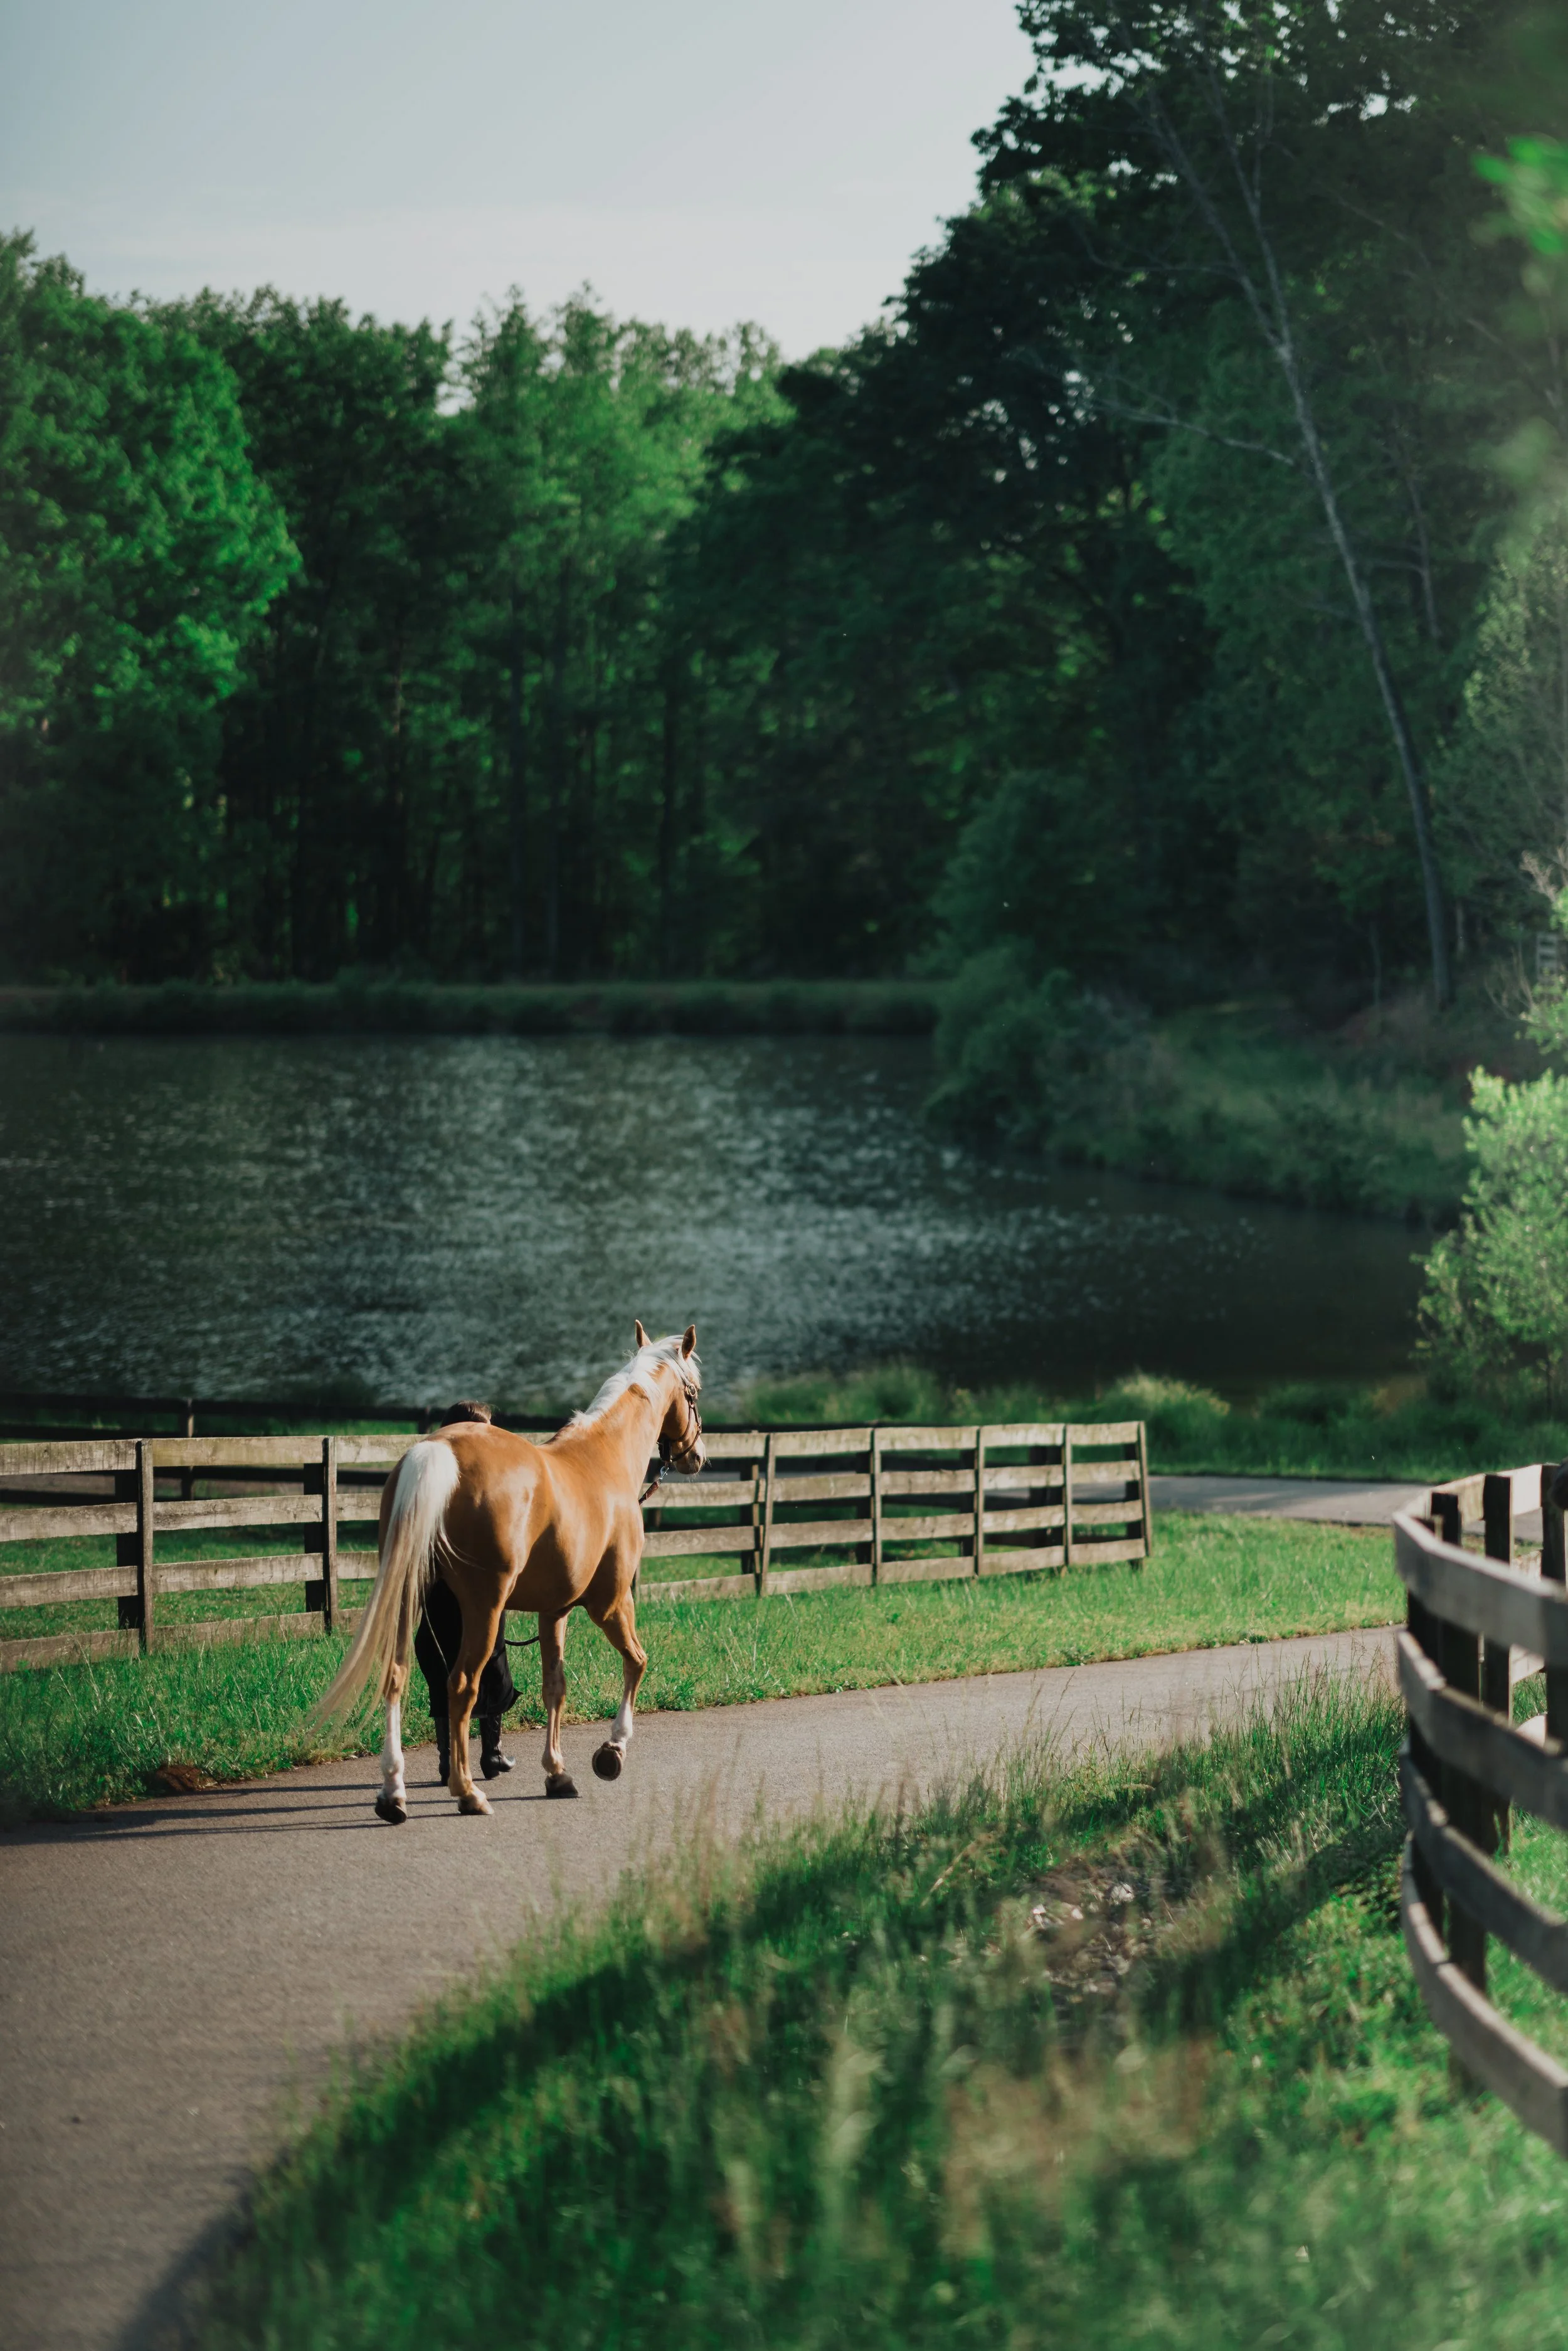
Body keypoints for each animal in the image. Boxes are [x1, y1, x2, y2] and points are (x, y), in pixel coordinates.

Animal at [312, 1323, 704, 1821]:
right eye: (695, 1392)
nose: (697, 1457)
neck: (604, 1457)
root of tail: (438, 1451)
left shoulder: (554, 1611)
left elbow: (555, 1685)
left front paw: (557, 1773)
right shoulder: (611, 1603)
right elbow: (637, 1662)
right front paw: (611, 1752)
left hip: (409, 1597)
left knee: (398, 1675)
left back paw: (393, 1794)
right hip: (485, 1607)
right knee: (462, 1685)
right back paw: (466, 1792)